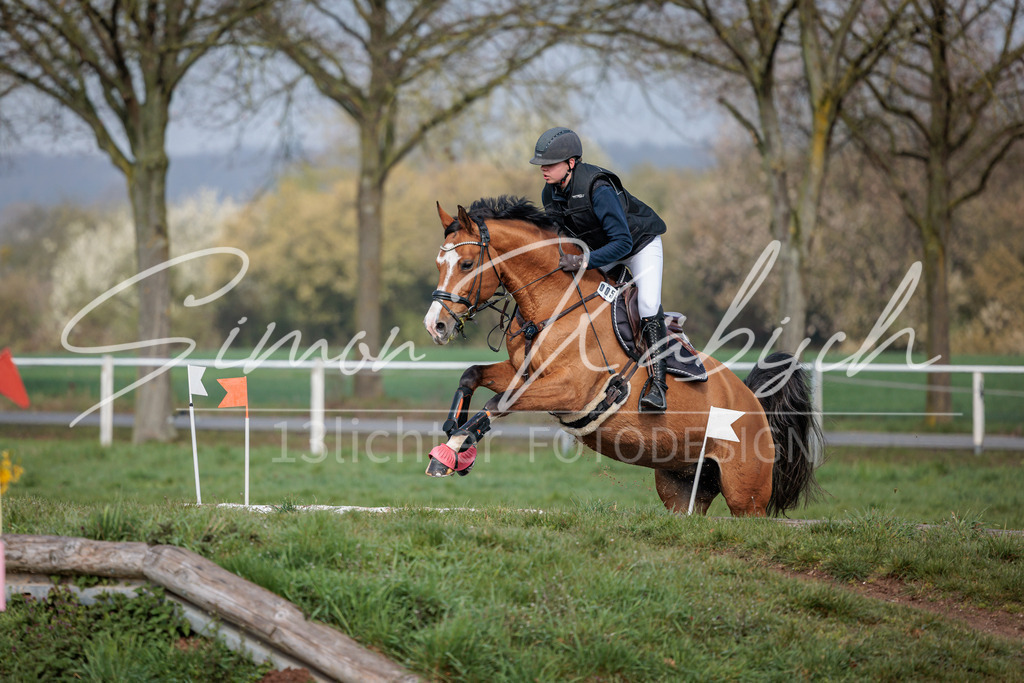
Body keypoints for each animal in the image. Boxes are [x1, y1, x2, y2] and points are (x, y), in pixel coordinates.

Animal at [422, 195, 822, 517]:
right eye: (439, 264)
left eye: (467, 264)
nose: (435, 326)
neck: (554, 303)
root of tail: (754, 402)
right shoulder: (524, 372)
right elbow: (472, 375)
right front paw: (453, 434)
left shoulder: (570, 390)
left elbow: (499, 402)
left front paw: (452, 451)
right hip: (682, 483)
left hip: (746, 496)